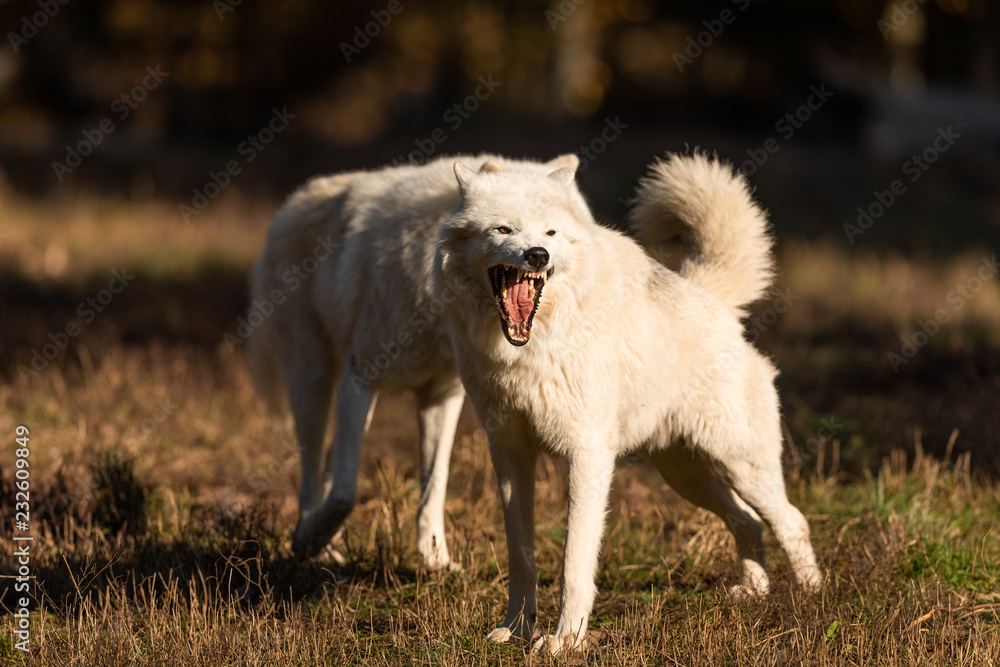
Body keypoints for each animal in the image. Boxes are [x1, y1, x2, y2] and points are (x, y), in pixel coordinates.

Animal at [247, 154, 578, 566]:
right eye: (504, 229)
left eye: (555, 234)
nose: (538, 255)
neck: (435, 307)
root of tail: (291, 203)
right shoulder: (360, 379)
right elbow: (345, 492)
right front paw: (308, 540)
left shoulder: (443, 395)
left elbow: (434, 483)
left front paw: (435, 560)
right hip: (312, 383)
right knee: (310, 476)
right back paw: (316, 544)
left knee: (325, 467)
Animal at [434, 152, 823, 653]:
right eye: (503, 229)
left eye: (550, 234)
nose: (537, 255)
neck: (527, 351)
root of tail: (713, 298)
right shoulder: (509, 454)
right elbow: (522, 557)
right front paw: (517, 629)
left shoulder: (588, 456)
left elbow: (574, 562)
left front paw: (564, 641)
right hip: (688, 476)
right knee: (749, 522)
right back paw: (754, 592)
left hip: (740, 466)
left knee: (791, 521)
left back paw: (813, 596)